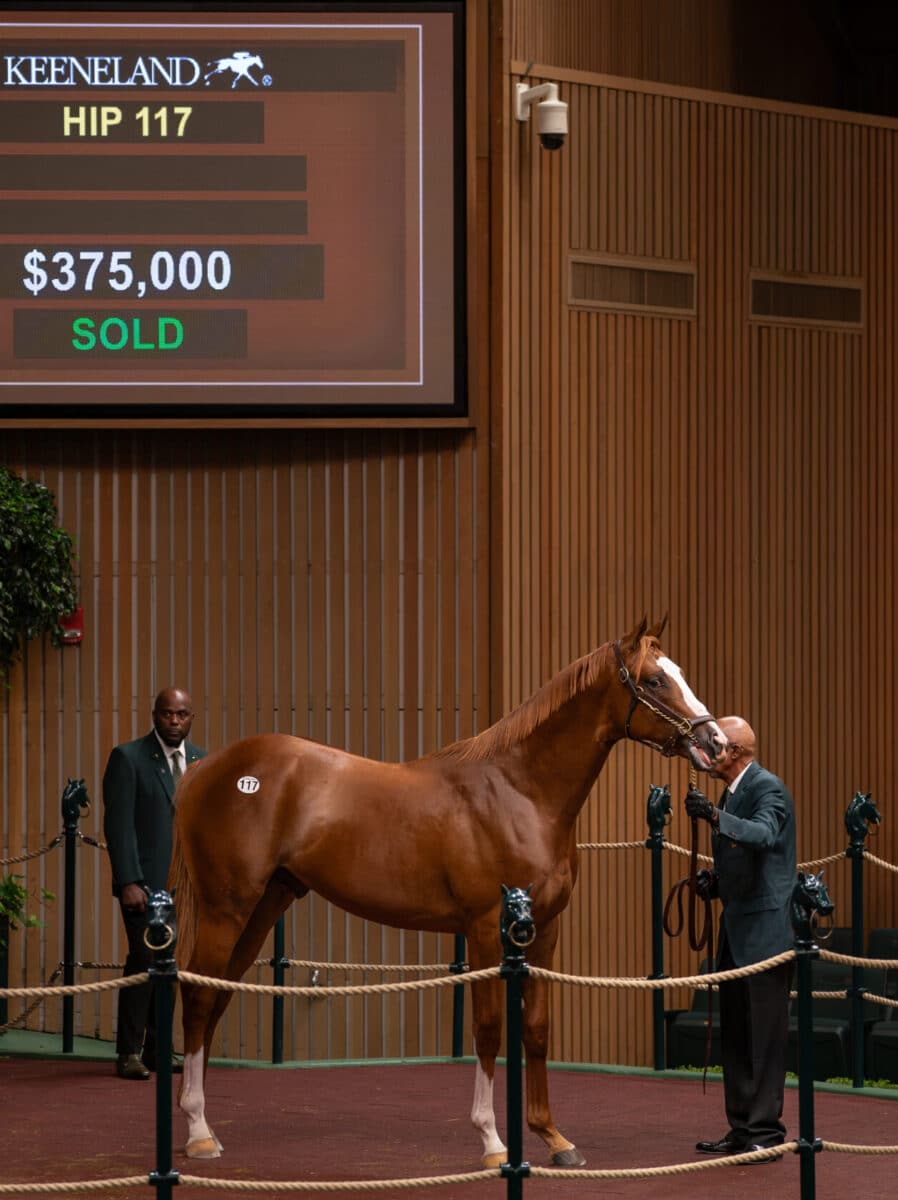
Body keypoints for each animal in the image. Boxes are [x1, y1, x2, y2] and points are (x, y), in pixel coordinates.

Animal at [171, 619, 725, 1161]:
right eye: (654, 680)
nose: (715, 742)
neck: (520, 793)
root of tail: (203, 769)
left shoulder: (545, 930)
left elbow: (537, 1028)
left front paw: (553, 1137)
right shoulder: (484, 929)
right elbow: (488, 1028)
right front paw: (493, 1141)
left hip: (264, 904)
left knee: (218, 994)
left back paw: (206, 1126)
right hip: (226, 909)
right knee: (197, 995)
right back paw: (198, 1133)